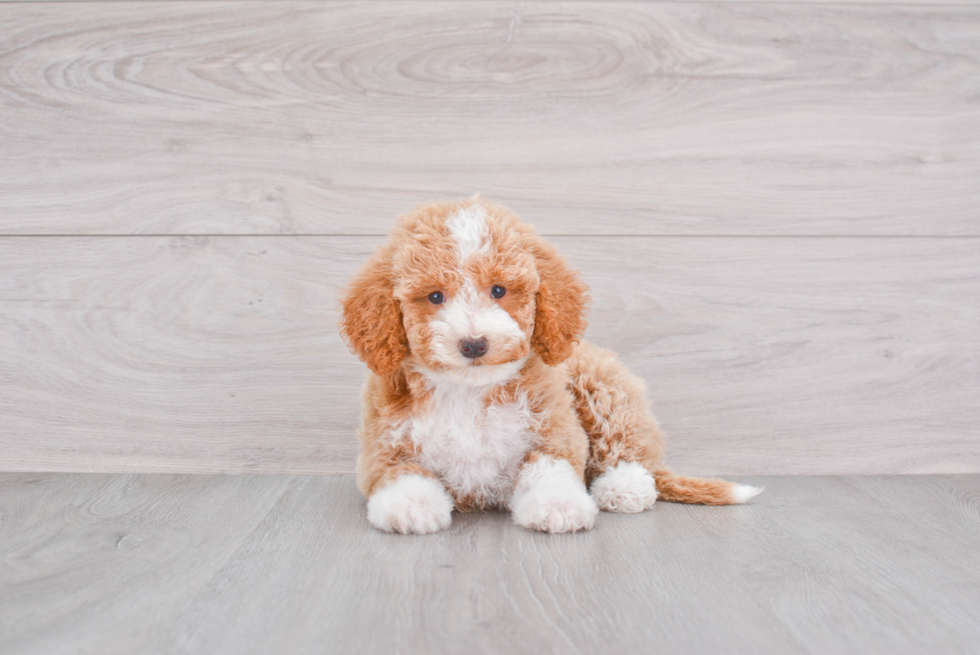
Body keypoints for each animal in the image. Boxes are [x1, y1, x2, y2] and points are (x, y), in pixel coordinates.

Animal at [340, 199, 760, 532]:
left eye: (498, 290)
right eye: (434, 297)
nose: (474, 344)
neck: (470, 390)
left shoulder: (554, 429)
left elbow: (551, 466)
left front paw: (558, 505)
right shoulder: (383, 446)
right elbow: (400, 473)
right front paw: (411, 506)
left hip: (601, 384)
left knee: (627, 444)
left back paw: (624, 486)